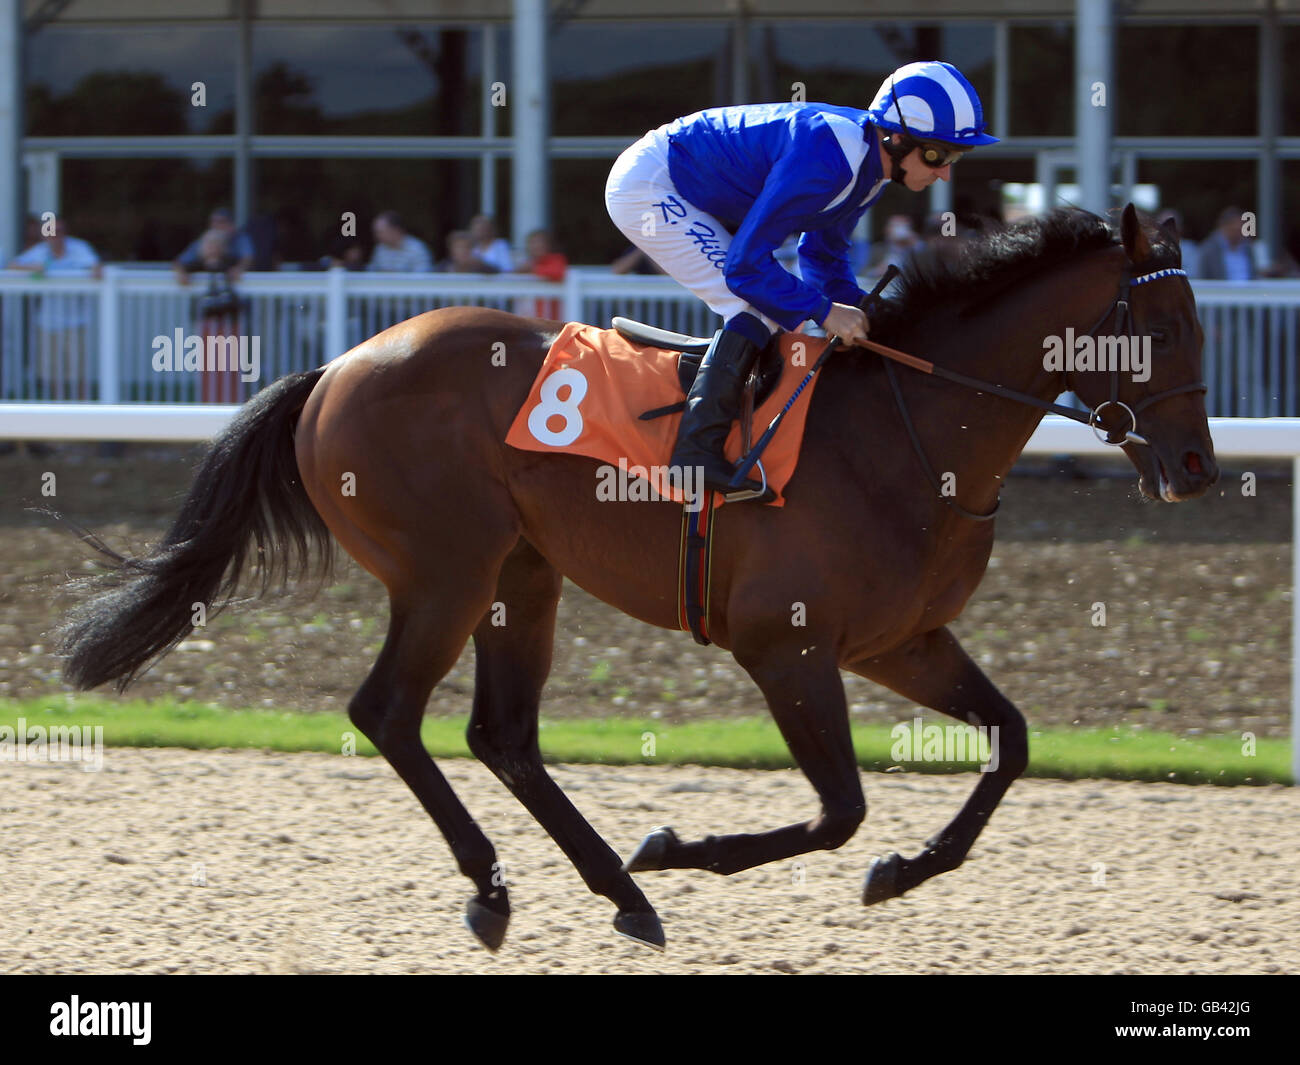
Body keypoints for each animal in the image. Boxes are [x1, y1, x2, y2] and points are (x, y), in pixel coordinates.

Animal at [55, 204, 1216, 951]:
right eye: (1161, 327)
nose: (1199, 469)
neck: (908, 433)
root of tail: (336, 368)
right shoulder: (785, 645)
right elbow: (838, 808)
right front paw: (674, 845)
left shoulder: (902, 641)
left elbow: (1010, 741)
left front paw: (903, 869)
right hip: (445, 573)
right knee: (388, 711)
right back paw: (511, 888)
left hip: (522, 572)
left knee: (502, 733)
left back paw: (611, 889)